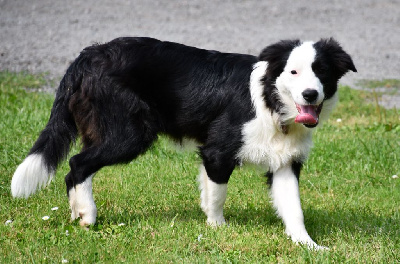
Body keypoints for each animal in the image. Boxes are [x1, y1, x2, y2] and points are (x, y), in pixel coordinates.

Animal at [11, 37, 356, 250]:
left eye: (321, 72)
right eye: (293, 72)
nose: (310, 94)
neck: (270, 100)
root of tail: (88, 55)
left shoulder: (285, 162)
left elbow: (293, 208)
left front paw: (308, 245)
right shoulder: (217, 152)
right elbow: (217, 195)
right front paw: (217, 228)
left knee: (77, 166)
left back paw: (78, 213)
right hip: (130, 135)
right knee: (77, 164)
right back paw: (88, 216)